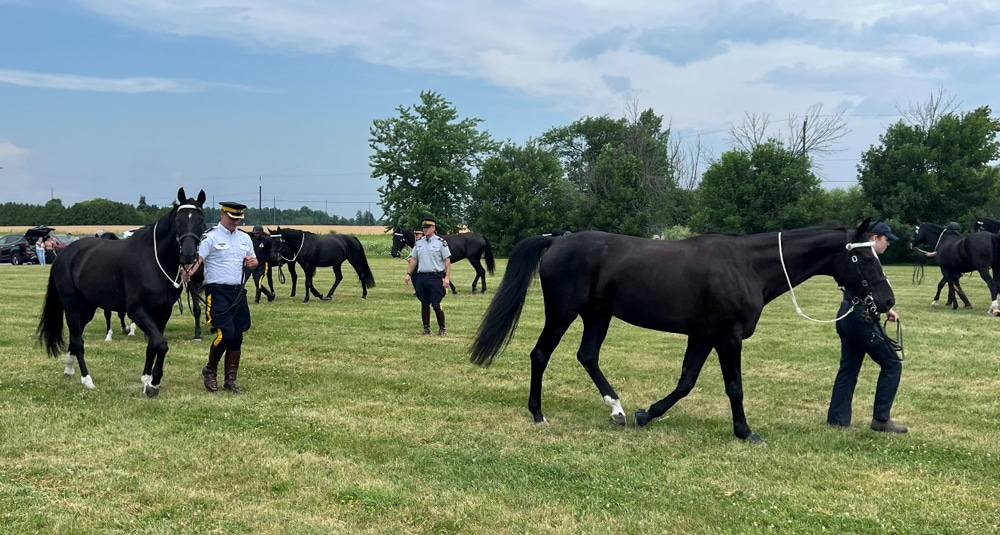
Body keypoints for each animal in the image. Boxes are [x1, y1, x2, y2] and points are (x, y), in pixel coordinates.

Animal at [36, 188, 206, 396]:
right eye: (178, 220)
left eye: (201, 220)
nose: (188, 255)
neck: (153, 260)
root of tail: (64, 254)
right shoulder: (137, 310)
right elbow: (161, 344)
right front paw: (154, 383)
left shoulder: (162, 312)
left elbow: (153, 345)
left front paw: (147, 380)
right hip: (72, 306)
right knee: (78, 340)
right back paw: (87, 379)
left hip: (88, 307)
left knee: (75, 337)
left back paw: (69, 367)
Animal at [469, 220, 895, 443]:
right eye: (861, 258)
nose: (887, 300)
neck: (747, 267)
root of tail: (559, 239)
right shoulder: (727, 337)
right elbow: (734, 387)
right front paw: (745, 432)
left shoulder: (703, 337)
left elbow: (686, 382)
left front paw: (646, 414)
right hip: (562, 314)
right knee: (540, 355)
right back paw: (538, 414)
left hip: (597, 316)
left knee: (587, 355)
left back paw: (618, 410)